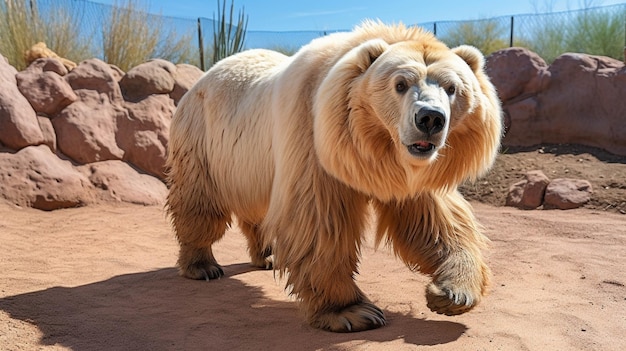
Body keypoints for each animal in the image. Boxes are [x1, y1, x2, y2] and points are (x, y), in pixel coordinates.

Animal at [166, 20, 502, 334]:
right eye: (401, 84)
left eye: (452, 87)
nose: (430, 118)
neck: (373, 151)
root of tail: (203, 77)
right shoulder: (312, 137)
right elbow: (320, 223)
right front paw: (352, 311)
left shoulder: (412, 174)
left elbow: (436, 221)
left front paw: (452, 292)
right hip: (204, 140)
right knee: (198, 200)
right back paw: (202, 265)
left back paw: (267, 255)